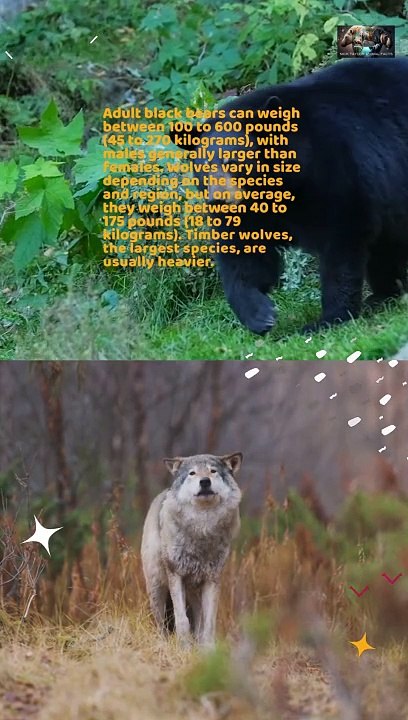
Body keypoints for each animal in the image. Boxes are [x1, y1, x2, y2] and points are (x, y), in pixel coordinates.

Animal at [141, 453, 243, 647]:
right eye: (192, 473)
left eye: (213, 471)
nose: (204, 481)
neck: (202, 527)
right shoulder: (176, 575)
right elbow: (182, 620)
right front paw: (184, 647)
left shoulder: (212, 579)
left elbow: (209, 623)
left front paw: (208, 650)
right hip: (157, 588)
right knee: (161, 624)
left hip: (195, 592)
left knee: (199, 620)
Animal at [169, 58, 408, 335]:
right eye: (205, 167)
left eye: (234, 161)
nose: (218, 200)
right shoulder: (246, 212)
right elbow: (244, 257)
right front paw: (259, 315)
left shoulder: (335, 170)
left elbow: (342, 241)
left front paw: (327, 319)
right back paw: (384, 294)